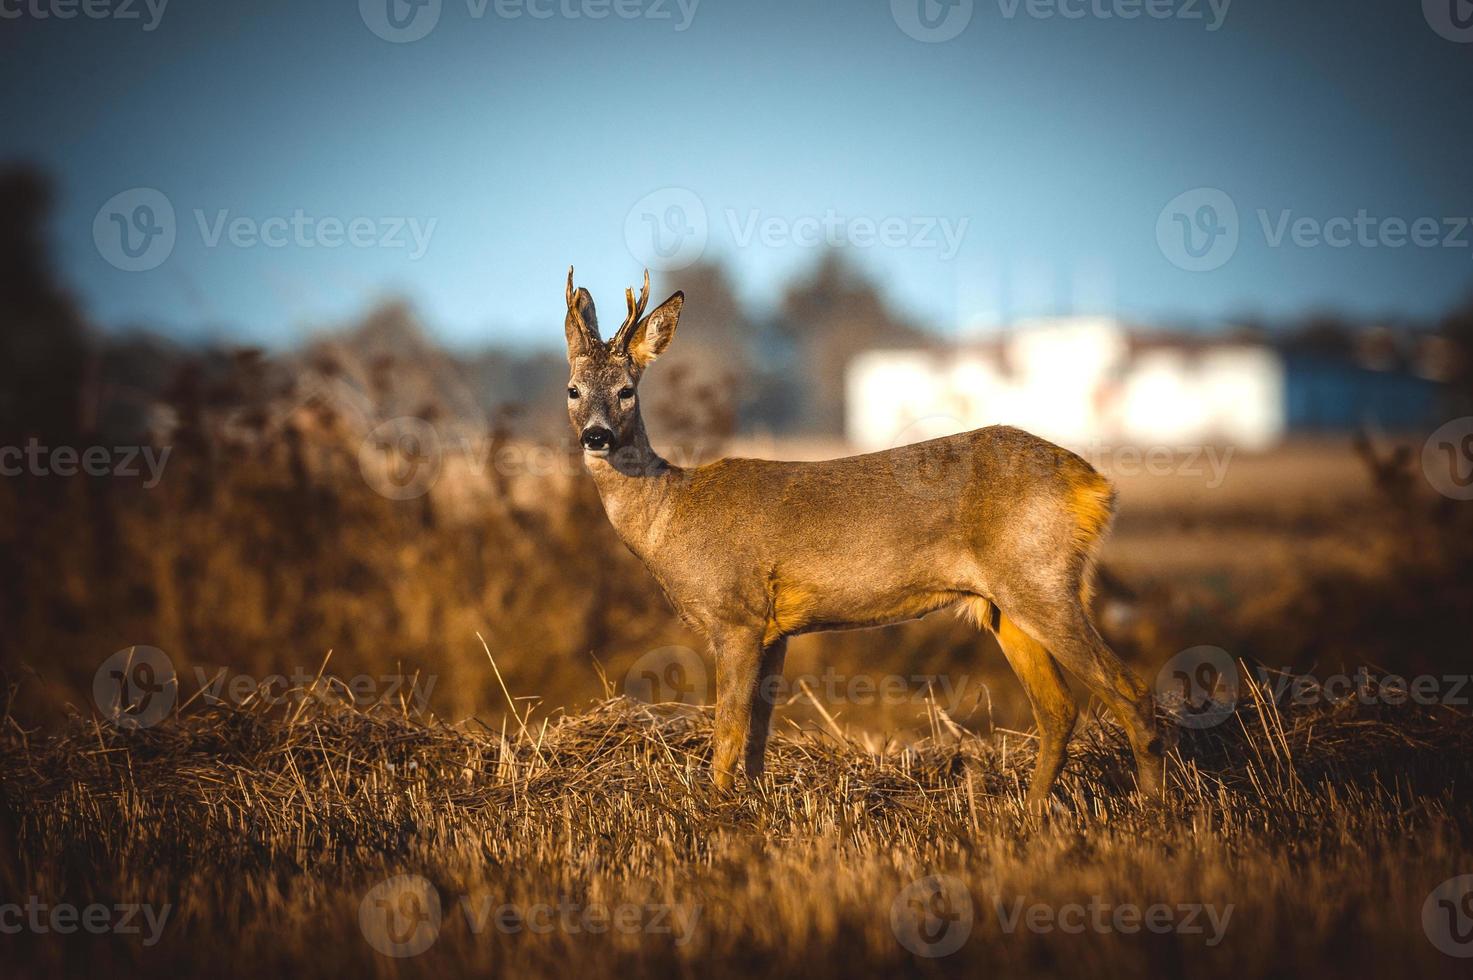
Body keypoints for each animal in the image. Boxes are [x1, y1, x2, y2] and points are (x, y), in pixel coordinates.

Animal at [559, 263, 1160, 807]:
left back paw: (1155, 807)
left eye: (627, 390)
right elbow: (757, 734)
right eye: (572, 390)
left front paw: (716, 808)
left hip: (1041, 580)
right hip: (1004, 604)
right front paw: (751, 806)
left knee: (1128, 688)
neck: (672, 516)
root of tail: (1095, 484)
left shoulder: (737, 616)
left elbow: (728, 731)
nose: (597, 436)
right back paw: (1033, 815)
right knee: (1058, 708)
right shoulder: (775, 631)